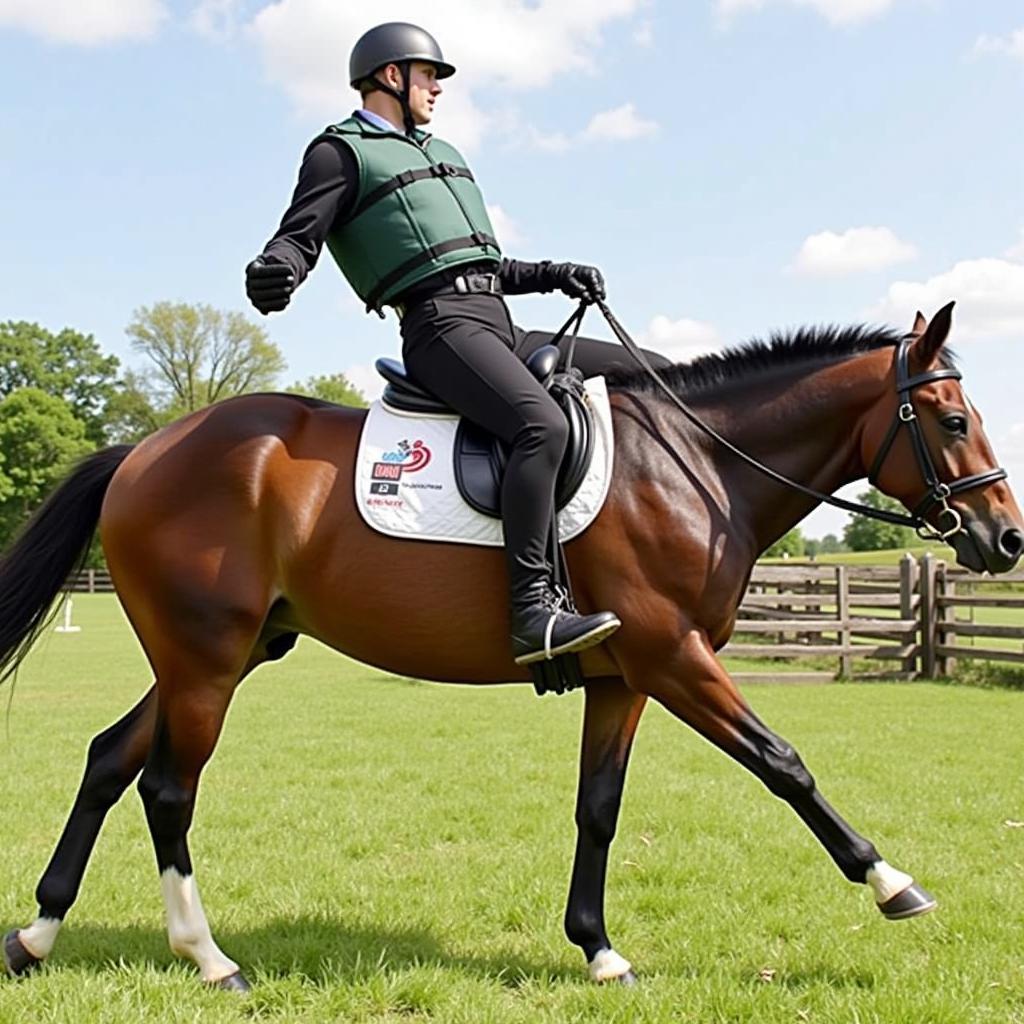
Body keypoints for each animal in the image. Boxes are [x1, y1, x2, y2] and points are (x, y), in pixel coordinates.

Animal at [0, 299, 1019, 987]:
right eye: (954, 420)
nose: (1006, 538)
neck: (696, 466)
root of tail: (141, 453)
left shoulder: (625, 677)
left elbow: (598, 807)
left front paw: (598, 949)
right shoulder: (675, 657)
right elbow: (785, 763)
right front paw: (890, 882)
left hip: (223, 655)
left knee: (109, 759)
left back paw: (38, 936)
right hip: (207, 661)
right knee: (168, 788)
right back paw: (208, 958)